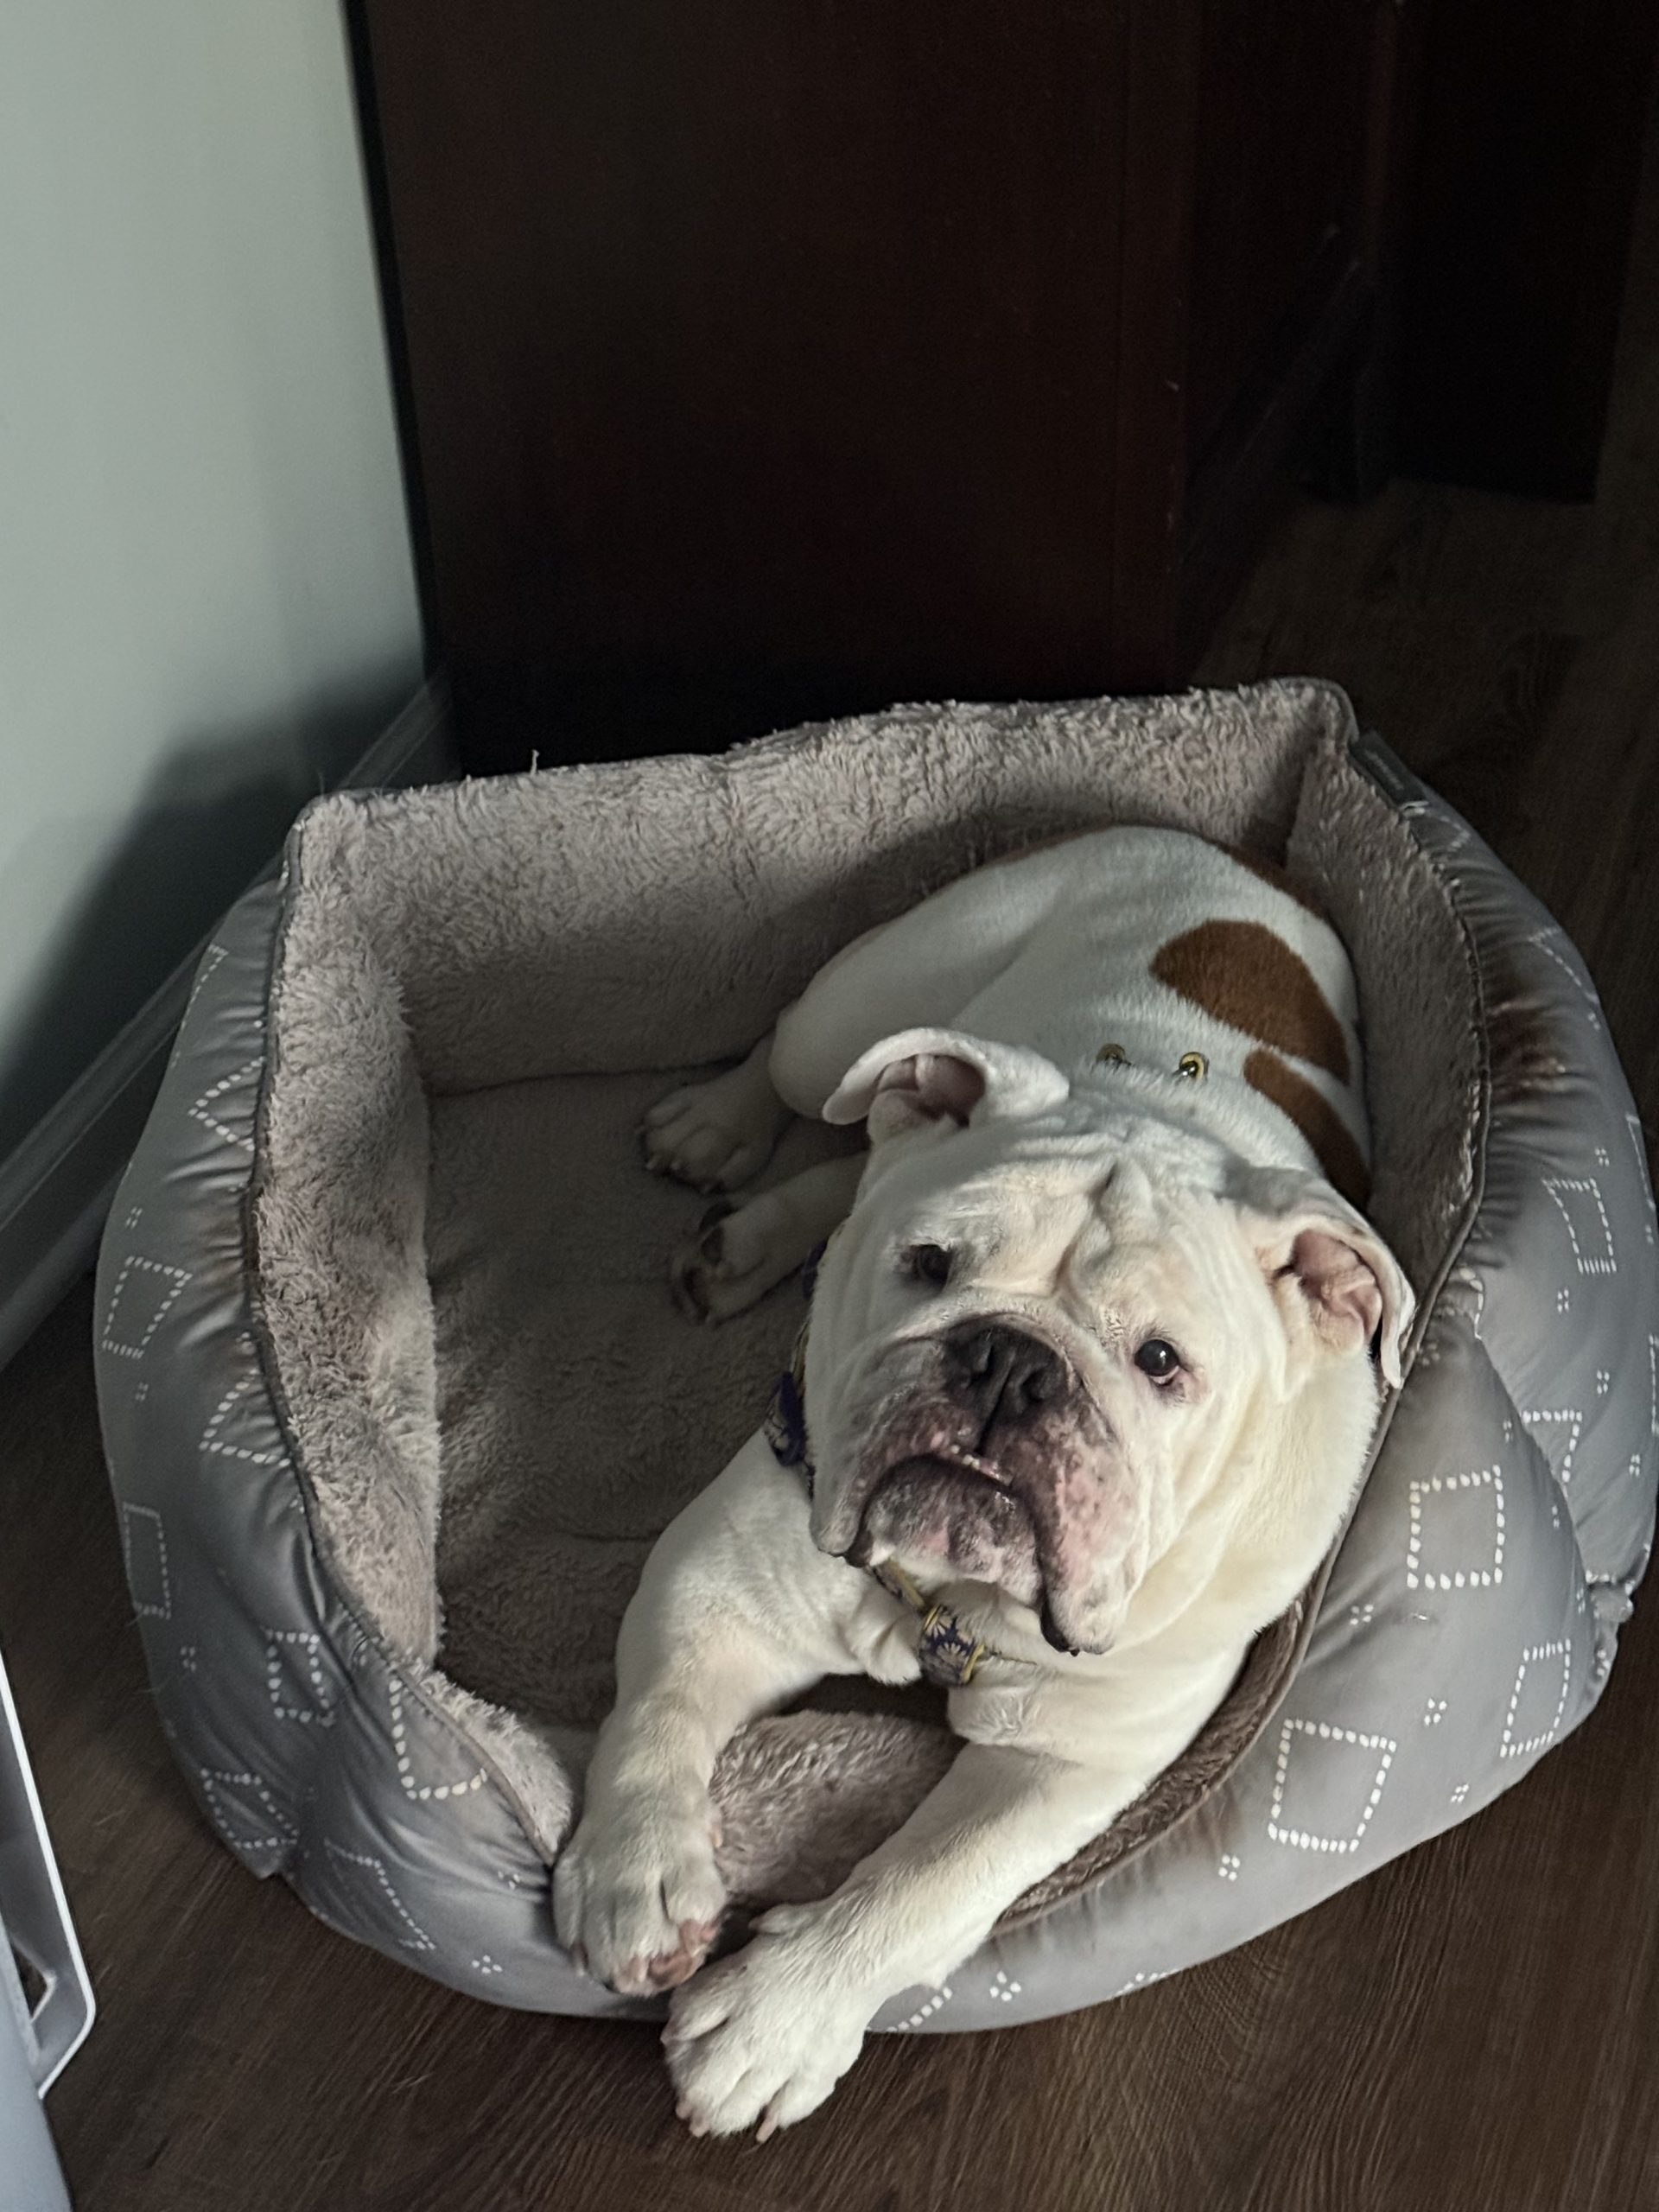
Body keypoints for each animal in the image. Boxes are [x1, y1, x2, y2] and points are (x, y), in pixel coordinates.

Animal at [553, 824, 1412, 2138]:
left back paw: (746, 1238)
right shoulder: (717, 1582)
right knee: (815, 1089)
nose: (1010, 1362)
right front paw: (636, 1872)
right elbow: (658, 1712)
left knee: (853, 1158)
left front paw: (771, 2021)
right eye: (927, 1265)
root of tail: (1244, 856)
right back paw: (717, 1138)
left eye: (1162, 1364)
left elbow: (924, 1882)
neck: (951, 1596)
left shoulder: (1071, 1759)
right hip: (867, 1004)